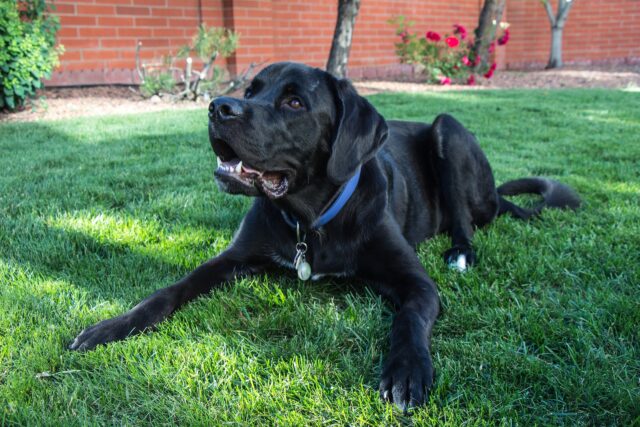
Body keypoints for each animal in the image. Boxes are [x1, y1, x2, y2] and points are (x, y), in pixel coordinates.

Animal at [71, 62, 580, 412]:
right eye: (252, 90)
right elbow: (170, 289)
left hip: (448, 131)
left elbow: (409, 319)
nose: (217, 107)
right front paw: (111, 326)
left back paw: (460, 252)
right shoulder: (233, 257)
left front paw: (406, 371)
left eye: (295, 102)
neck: (311, 220)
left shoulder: (416, 283)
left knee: (465, 220)